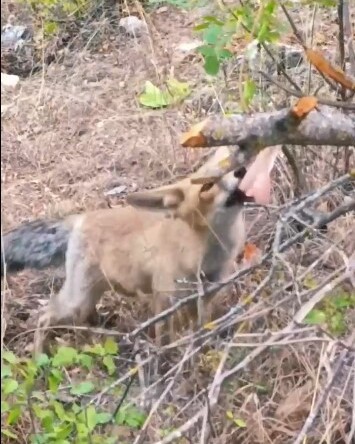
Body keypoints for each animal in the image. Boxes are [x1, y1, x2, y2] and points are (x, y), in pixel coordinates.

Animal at [0, 147, 280, 354]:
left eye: (230, 171)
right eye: (207, 186)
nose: (242, 171)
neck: (206, 254)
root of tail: (79, 219)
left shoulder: (205, 297)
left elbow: (199, 330)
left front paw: (201, 353)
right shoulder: (165, 298)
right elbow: (165, 341)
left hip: (88, 299)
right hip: (76, 301)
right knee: (43, 316)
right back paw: (38, 358)